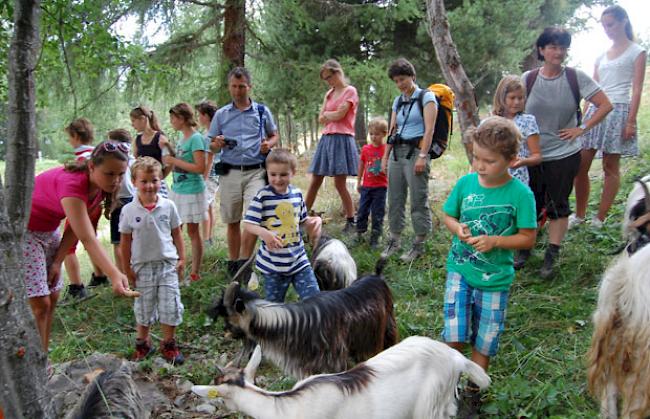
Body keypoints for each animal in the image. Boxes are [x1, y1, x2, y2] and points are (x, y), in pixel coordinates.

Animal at [210, 260, 398, 378]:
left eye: (228, 320)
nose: (225, 333)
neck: (297, 324)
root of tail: (376, 275)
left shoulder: (334, 364)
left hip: (386, 329)